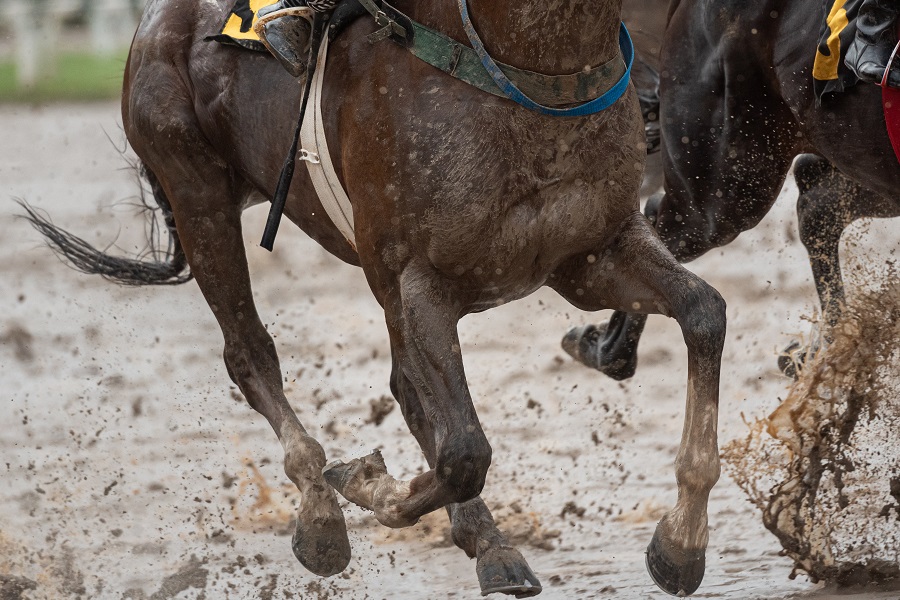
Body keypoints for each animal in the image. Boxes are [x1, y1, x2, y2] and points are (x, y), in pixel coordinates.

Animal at [22, 0, 724, 596]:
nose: (660, 94)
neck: (524, 70)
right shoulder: (419, 280)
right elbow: (464, 450)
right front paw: (363, 483)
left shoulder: (590, 253)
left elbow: (704, 314)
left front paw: (680, 544)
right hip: (197, 194)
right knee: (251, 354)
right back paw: (322, 516)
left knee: (406, 390)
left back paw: (487, 544)